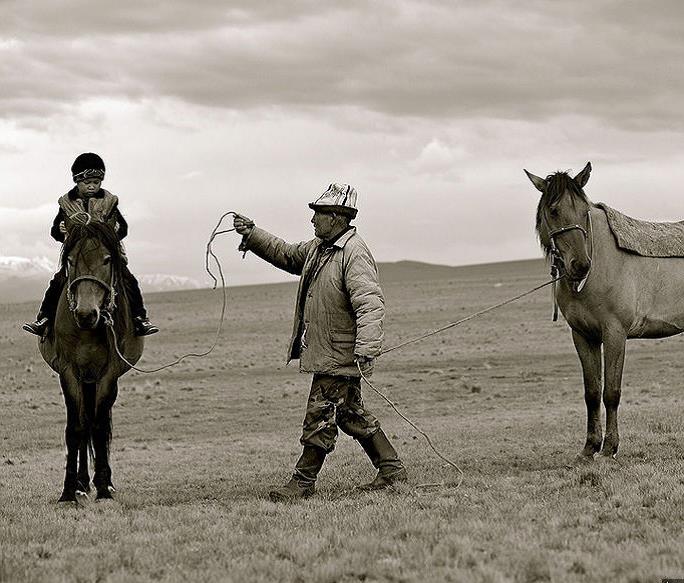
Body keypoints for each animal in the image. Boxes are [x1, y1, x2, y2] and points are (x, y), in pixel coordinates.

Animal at [38, 220, 143, 502]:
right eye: (70, 260)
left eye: (107, 259)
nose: (86, 314)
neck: (87, 330)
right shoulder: (68, 372)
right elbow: (76, 428)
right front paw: (68, 491)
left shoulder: (108, 374)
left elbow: (99, 427)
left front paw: (104, 488)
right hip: (85, 380)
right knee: (84, 422)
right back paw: (83, 483)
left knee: (98, 424)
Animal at [528, 164, 684, 466]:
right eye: (554, 210)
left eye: (583, 210)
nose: (580, 265)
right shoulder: (583, 336)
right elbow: (592, 392)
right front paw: (589, 448)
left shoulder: (615, 334)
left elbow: (611, 392)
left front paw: (610, 447)